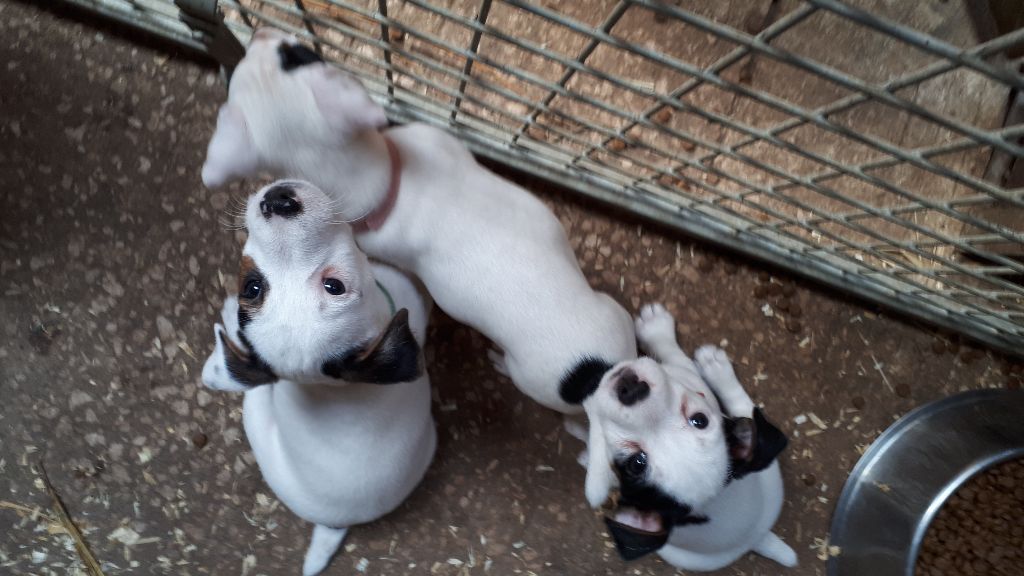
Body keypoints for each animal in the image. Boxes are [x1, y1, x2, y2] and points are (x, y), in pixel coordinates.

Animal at [589, 303, 794, 565]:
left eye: (637, 463)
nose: (632, 389)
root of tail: (757, 538)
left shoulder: (686, 372)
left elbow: (675, 354)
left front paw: (656, 328)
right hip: (768, 473)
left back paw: (715, 367)